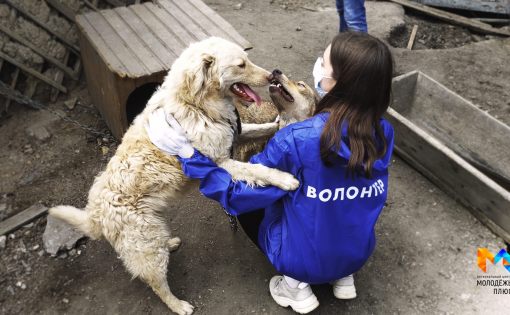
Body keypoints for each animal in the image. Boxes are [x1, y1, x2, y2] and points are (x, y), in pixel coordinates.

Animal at [48, 36, 298, 314]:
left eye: (247, 59)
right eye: (241, 64)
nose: (271, 75)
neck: (197, 104)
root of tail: (94, 215)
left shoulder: (234, 138)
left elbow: (257, 129)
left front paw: (277, 125)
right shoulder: (221, 162)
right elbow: (257, 169)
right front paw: (285, 179)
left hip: (151, 235)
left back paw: (171, 244)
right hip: (146, 244)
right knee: (156, 284)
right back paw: (179, 305)